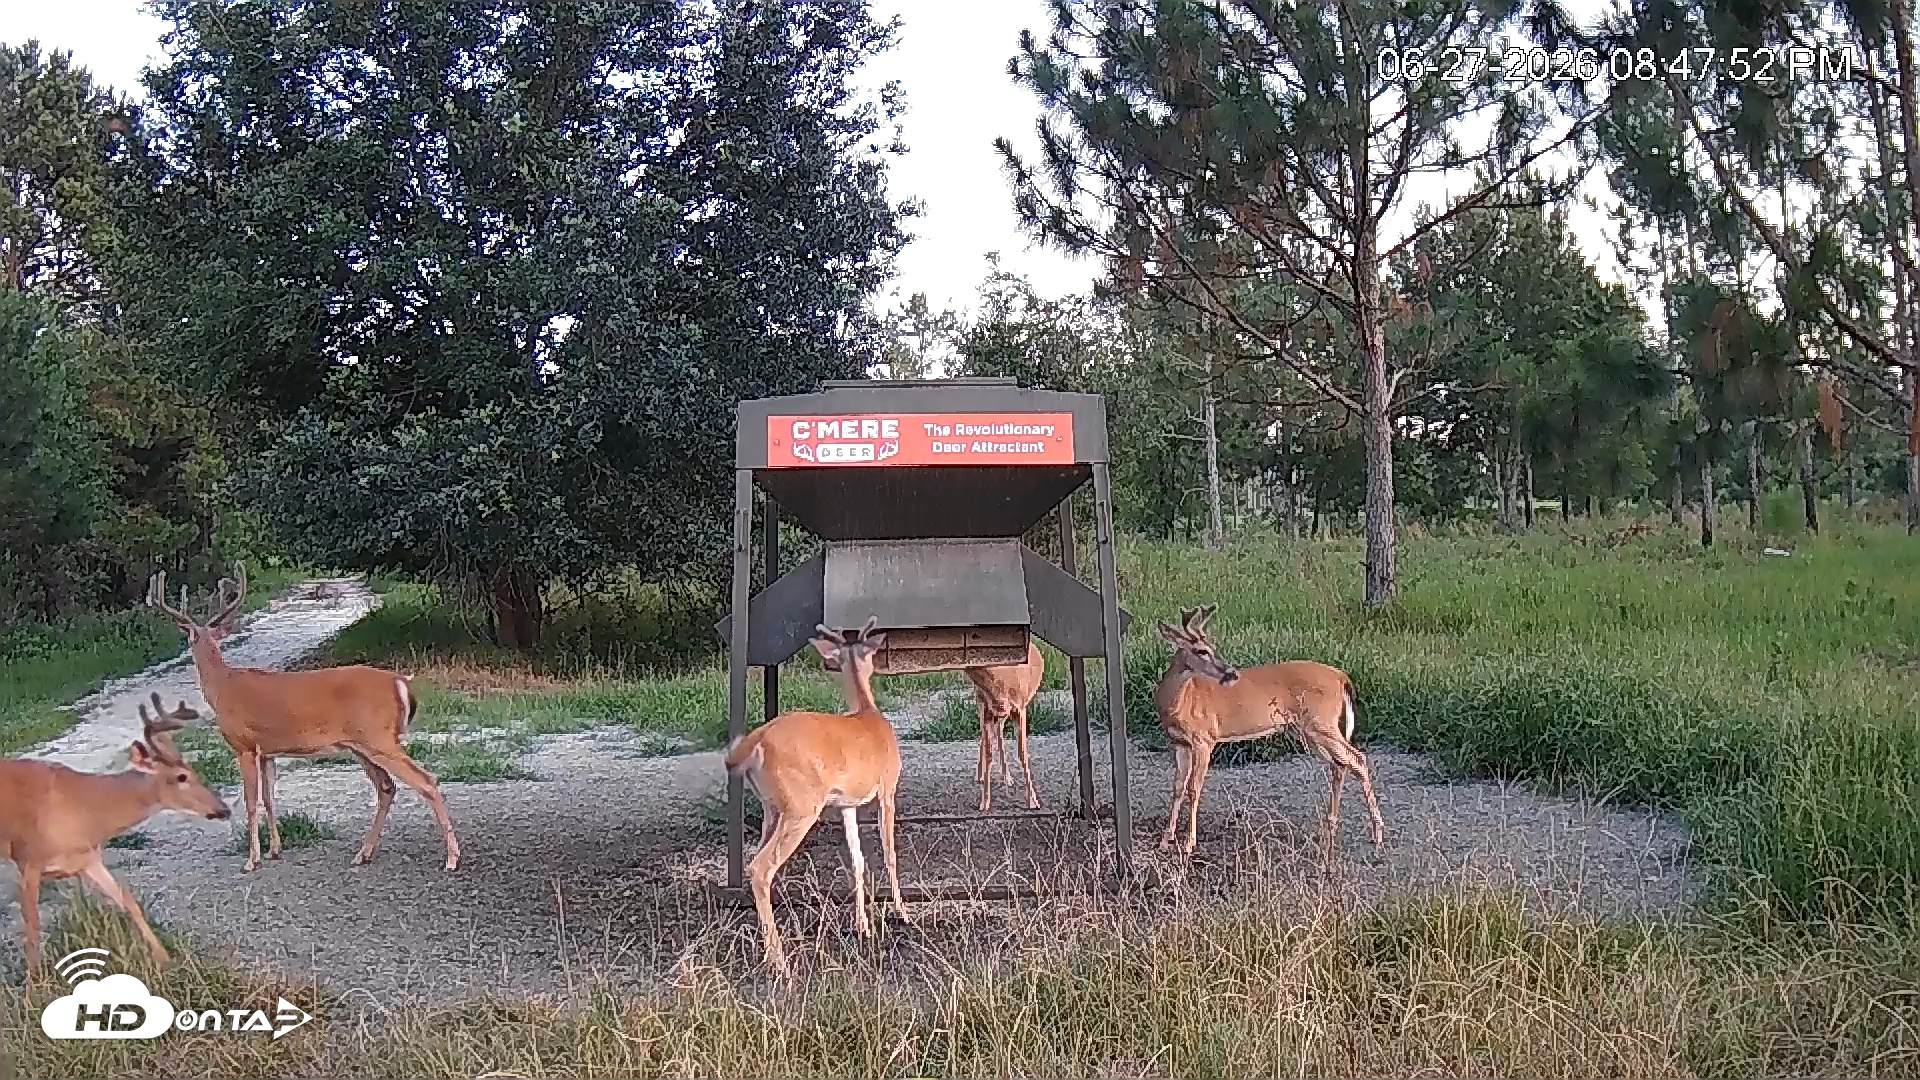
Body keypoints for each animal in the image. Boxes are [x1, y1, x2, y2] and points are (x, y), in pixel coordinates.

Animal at [0, 696, 231, 980]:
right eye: (181, 777)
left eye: (193, 770)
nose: (223, 809)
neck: (83, 810)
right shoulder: (27, 859)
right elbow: (31, 927)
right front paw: (34, 986)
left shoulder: (88, 859)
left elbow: (128, 900)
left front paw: (166, 960)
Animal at [147, 566, 462, 873]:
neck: (223, 687)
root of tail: (401, 683)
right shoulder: (267, 751)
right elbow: (269, 798)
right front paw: (274, 850)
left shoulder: (243, 744)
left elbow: (250, 802)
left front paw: (252, 860)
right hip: (361, 744)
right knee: (387, 788)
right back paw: (363, 854)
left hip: (378, 737)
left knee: (425, 780)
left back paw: (451, 858)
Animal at [728, 616, 906, 977]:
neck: (867, 711)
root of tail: (758, 739)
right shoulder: (887, 788)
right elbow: (889, 853)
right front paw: (902, 913)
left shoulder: (847, 804)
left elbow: (857, 859)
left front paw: (863, 925)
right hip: (801, 807)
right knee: (761, 867)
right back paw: (778, 960)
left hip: (771, 808)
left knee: (756, 862)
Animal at [813, 637, 1046, 812]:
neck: (1002, 682)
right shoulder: (988, 708)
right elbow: (990, 752)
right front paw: (985, 803)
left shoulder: (1020, 708)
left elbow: (1023, 753)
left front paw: (1033, 801)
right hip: (982, 705)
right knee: (990, 735)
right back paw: (984, 776)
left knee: (997, 734)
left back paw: (1006, 778)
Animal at [1154, 604, 1386, 857]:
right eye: (1201, 650)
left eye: (1212, 647)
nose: (1232, 673)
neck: (1179, 702)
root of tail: (1341, 676)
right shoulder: (1180, 743)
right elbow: (1177, 787)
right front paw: (1165, 840)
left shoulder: (1204, 738)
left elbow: (1193, 789)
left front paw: (1188, 844)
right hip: (1308, 732)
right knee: (1340, 764)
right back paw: (1329, 830)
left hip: (1321, 723)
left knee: (1357, 758)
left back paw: (1377, 835)